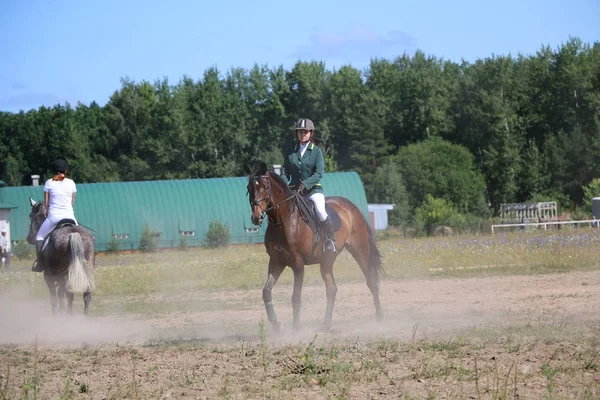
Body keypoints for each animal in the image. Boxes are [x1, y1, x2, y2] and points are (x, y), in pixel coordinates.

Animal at [245, 161, 382, 332]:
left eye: (265, 186)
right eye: (250, 188)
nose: (256, 217)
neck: (282, 222)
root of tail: (352, 207)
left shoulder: (298, 264)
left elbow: (296, 297)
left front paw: (295, 329)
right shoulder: (276, 261)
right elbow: (267, 292)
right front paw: (277, 325)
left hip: (360, 251)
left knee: (371, 282)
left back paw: (380, 319)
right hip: (327, 260)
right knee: (332, 288)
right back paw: (326, 324)